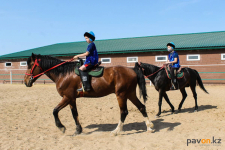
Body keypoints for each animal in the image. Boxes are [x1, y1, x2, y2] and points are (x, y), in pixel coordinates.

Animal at [24, 54, 155, 136]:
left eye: (30, 65)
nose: (26, 81)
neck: (64, 74)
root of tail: (132, 70)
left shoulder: (67, 97)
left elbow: (55, 111)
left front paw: (61, 127)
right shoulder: (72, 99)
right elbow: (74, 114)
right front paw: (78, 130)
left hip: (121, 95)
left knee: (124, 112)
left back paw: (116, 131)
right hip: (130, 94)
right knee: (141, 107)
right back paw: (149, 127)